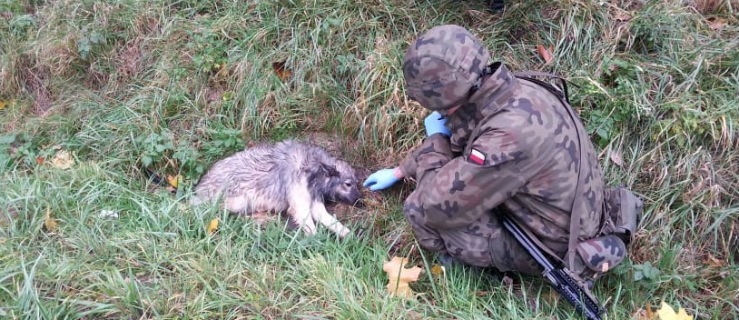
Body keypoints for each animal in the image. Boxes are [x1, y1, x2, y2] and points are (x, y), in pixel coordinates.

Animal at [191, 140, 362, 238]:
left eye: (356, 183)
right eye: (348, 184)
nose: (360, 202)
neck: (314, 169)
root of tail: (198, 188)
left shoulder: (315, 204)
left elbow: (333, 223)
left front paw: (349, 235)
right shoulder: (300, 206)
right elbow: (312, 229)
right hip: (235, 201)